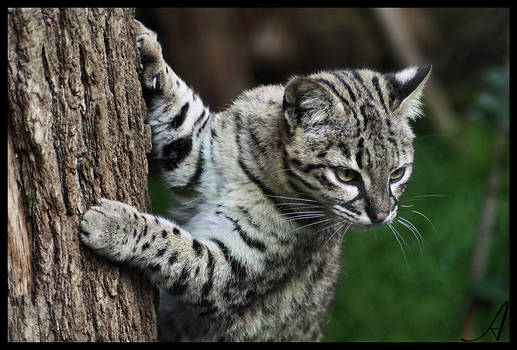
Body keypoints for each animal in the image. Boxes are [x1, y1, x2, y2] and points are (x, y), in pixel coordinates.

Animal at [79, 19, 428, 342]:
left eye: (397, 174)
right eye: (346, 175)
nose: (381, 215)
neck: (262, 172)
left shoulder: (231, 273)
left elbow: (177, 249)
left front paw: (113, 224)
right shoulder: (200, 157)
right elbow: (179, 111)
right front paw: (148, 50)